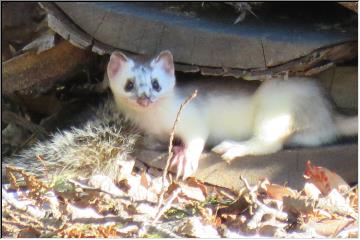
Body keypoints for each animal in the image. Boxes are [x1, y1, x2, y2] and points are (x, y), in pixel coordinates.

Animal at [107, 50, 358, 178]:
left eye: (156, 83)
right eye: (129, 84)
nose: (144, 98)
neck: (154, 121)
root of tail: (329, 111)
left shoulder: (191, 115)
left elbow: (197, 137)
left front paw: (185, 159)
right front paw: (172, 148)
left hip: (274, 104)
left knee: (270, 143)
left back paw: (231, 147)